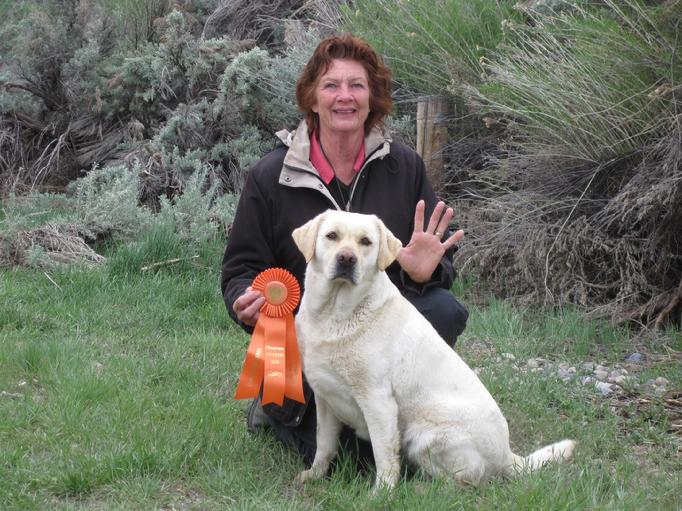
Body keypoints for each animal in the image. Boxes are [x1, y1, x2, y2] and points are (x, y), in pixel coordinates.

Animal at [290, 210, 572, 490]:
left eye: (365, 242)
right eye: (332, 236)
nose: (347, 259)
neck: (333, 314)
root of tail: (507, 455)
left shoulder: (378, 402)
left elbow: (385, 456)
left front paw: (381, 493)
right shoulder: (325, 398)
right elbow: (324, 445)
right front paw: (313, 475)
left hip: (425, 434)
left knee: (463, 480)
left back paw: (422, 488)